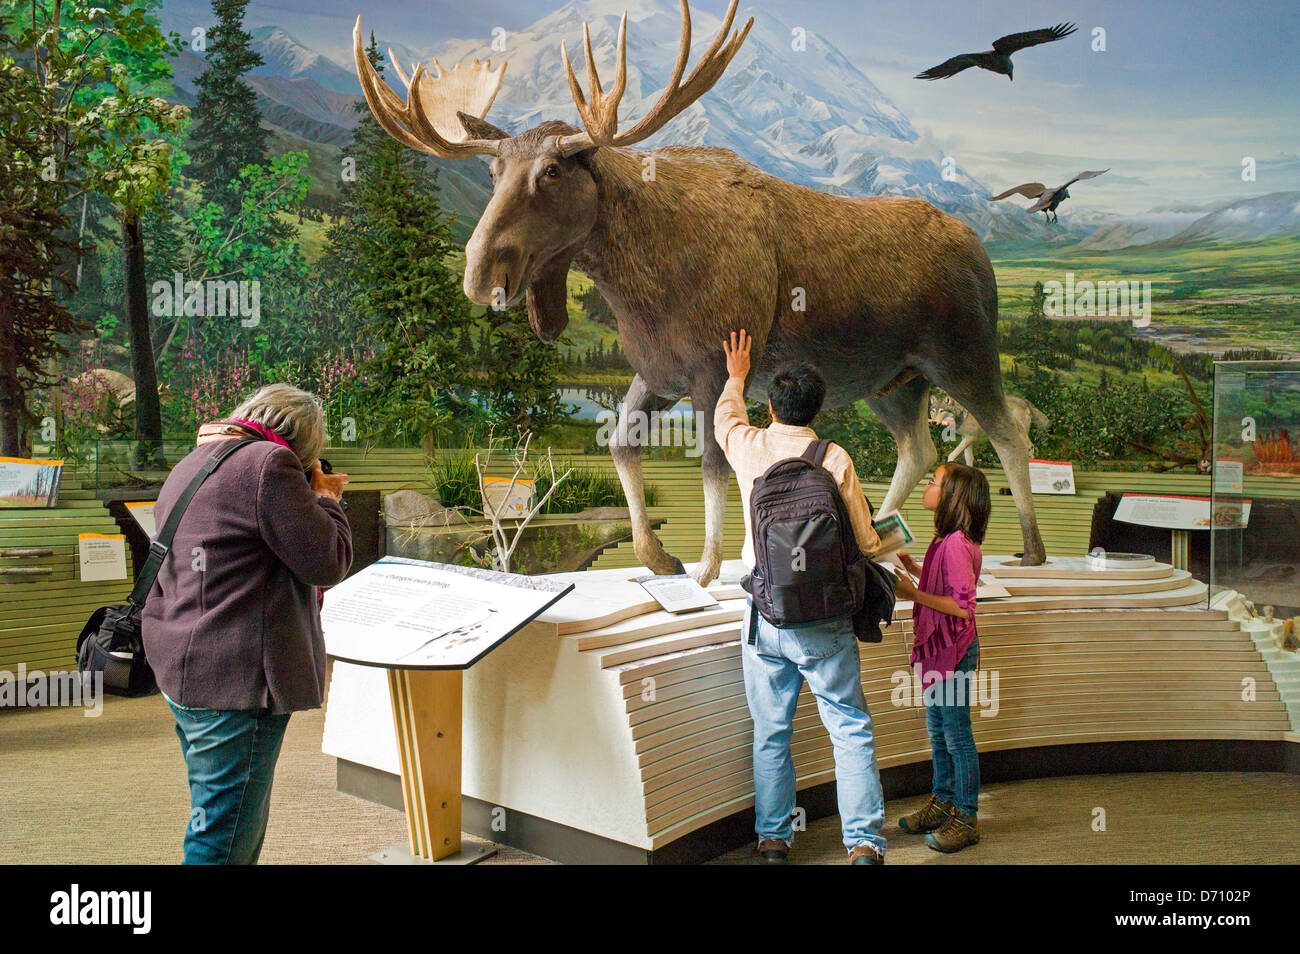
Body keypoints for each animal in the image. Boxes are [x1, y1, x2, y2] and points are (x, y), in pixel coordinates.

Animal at [353, 0, 1045, 587]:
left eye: (550, 171)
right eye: (492, 170)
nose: (480, 271)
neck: (640, 284)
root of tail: (981, 250)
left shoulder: (714, 365)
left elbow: (714, 460)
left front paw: (711, 566)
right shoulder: (659, 371)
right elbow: (623, 443)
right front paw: (662, 557)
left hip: (962, 352)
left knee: (1010, 430)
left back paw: (1031, 549)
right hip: (893, 380)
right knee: (918, 447)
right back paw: (877, 533)